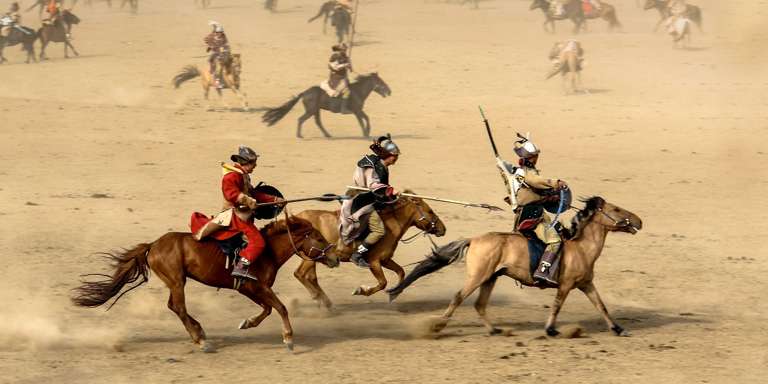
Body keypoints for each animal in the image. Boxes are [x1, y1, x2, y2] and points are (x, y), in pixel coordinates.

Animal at [73, 216, 338, 352]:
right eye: (318, 237)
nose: (335, 257)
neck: (267, 252)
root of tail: (153, 245)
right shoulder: (255, 287)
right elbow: (280, 308)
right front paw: (288, 339)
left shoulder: (250, 289)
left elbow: (267, 309)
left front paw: (247, 323)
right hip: (177, 281)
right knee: (179, 307)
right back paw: (201, 340)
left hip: (175, 281)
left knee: (174, 307)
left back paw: (199, 332)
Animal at [262, 72, 392, 138]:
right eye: (380, 82)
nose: (389, 91)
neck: (358, 90)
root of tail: (305, 92)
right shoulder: (356, 111)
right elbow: (362, 120)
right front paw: (365, 134)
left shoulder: (359, 110)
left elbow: (367, 118)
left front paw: (367, 132)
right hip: (311, 110)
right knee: (301, 119)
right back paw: (299, 135)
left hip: (316, 110)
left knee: (317, 122)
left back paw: (327, 135)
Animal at [296, 192, 448, 308]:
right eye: (430, 211)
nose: (443, 229)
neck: (391, 225)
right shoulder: (374, 262)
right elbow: (382, 282)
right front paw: (361, 291)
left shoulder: (385, 260)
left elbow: (401, 272)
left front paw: (394, 292)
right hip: (312, 257)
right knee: (300, 274)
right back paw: (319, 299)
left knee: (309, 277)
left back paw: (324, 302)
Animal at [390, 196, 640, 338]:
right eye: (617, 210)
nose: (639, 220)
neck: (580, 247)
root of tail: (474, 239)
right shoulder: (566, 285)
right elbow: (557, 306)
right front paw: (550, 330)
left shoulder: (586, 284)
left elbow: (601, 306)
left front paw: (619, 329)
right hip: (478, 277)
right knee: (459, 297)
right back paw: (438, 326)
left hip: (490, 278)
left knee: (480, 304)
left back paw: (494, 330)